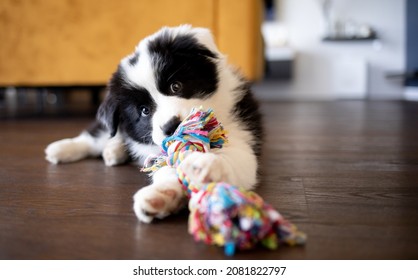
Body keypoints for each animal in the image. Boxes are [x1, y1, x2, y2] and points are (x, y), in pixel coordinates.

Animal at [45, 25, 262, 223]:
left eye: (176, 86)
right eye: (144, 110)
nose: (171, 127)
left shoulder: (241, 135)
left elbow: (236, 159)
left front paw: (203, 168)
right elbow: (166, 169)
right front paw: (163, 194)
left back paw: (113, 151)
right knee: (98, 137)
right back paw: (61, 149)